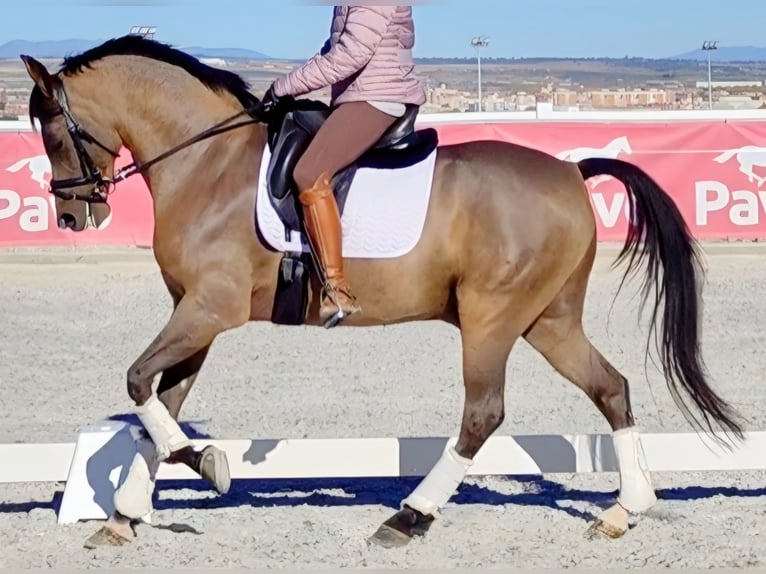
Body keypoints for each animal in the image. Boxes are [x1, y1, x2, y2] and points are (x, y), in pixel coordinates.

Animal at [20, 35, 743, 549]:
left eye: (52, 129)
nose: (73, 217)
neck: (208, 165)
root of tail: (570, 171)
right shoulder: (193, 311)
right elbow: (157, 402)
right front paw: (125, 515)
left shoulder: (209, 308)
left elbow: (138, 382)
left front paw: (201, 461)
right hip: (547, 318)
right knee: (610, 388)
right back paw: (624, 511)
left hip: (492, 315)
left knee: (483, 413)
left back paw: (410, 516)